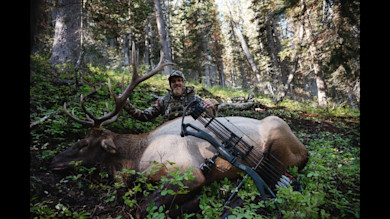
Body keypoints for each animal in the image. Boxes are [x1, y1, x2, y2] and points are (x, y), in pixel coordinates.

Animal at [51, 43, 308, 215]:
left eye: (84, 143)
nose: (53, 160)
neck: (135, 157)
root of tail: (306, 151)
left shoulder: (189, 173)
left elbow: (142, 209)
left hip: (277, 141)